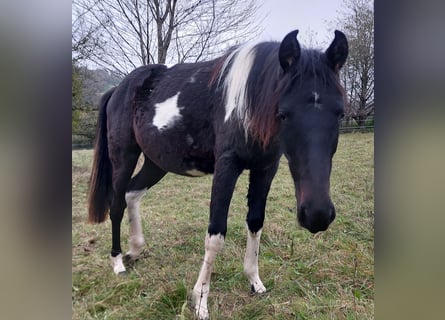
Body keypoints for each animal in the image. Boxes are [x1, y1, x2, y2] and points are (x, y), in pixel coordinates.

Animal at [86, 28, 348, 318]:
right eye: (283, 114)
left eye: (340, 113)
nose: (317, 215)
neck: (248, 102)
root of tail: (118, 89)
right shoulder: (227, 167)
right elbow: (215, 235)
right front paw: (200, 301)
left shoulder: (266, 168)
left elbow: (255, 222)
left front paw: (254, 281)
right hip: (124, 157)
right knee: (117, 204)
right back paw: (118, 261)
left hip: (157, 162)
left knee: (132, 194)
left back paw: (135, 249)